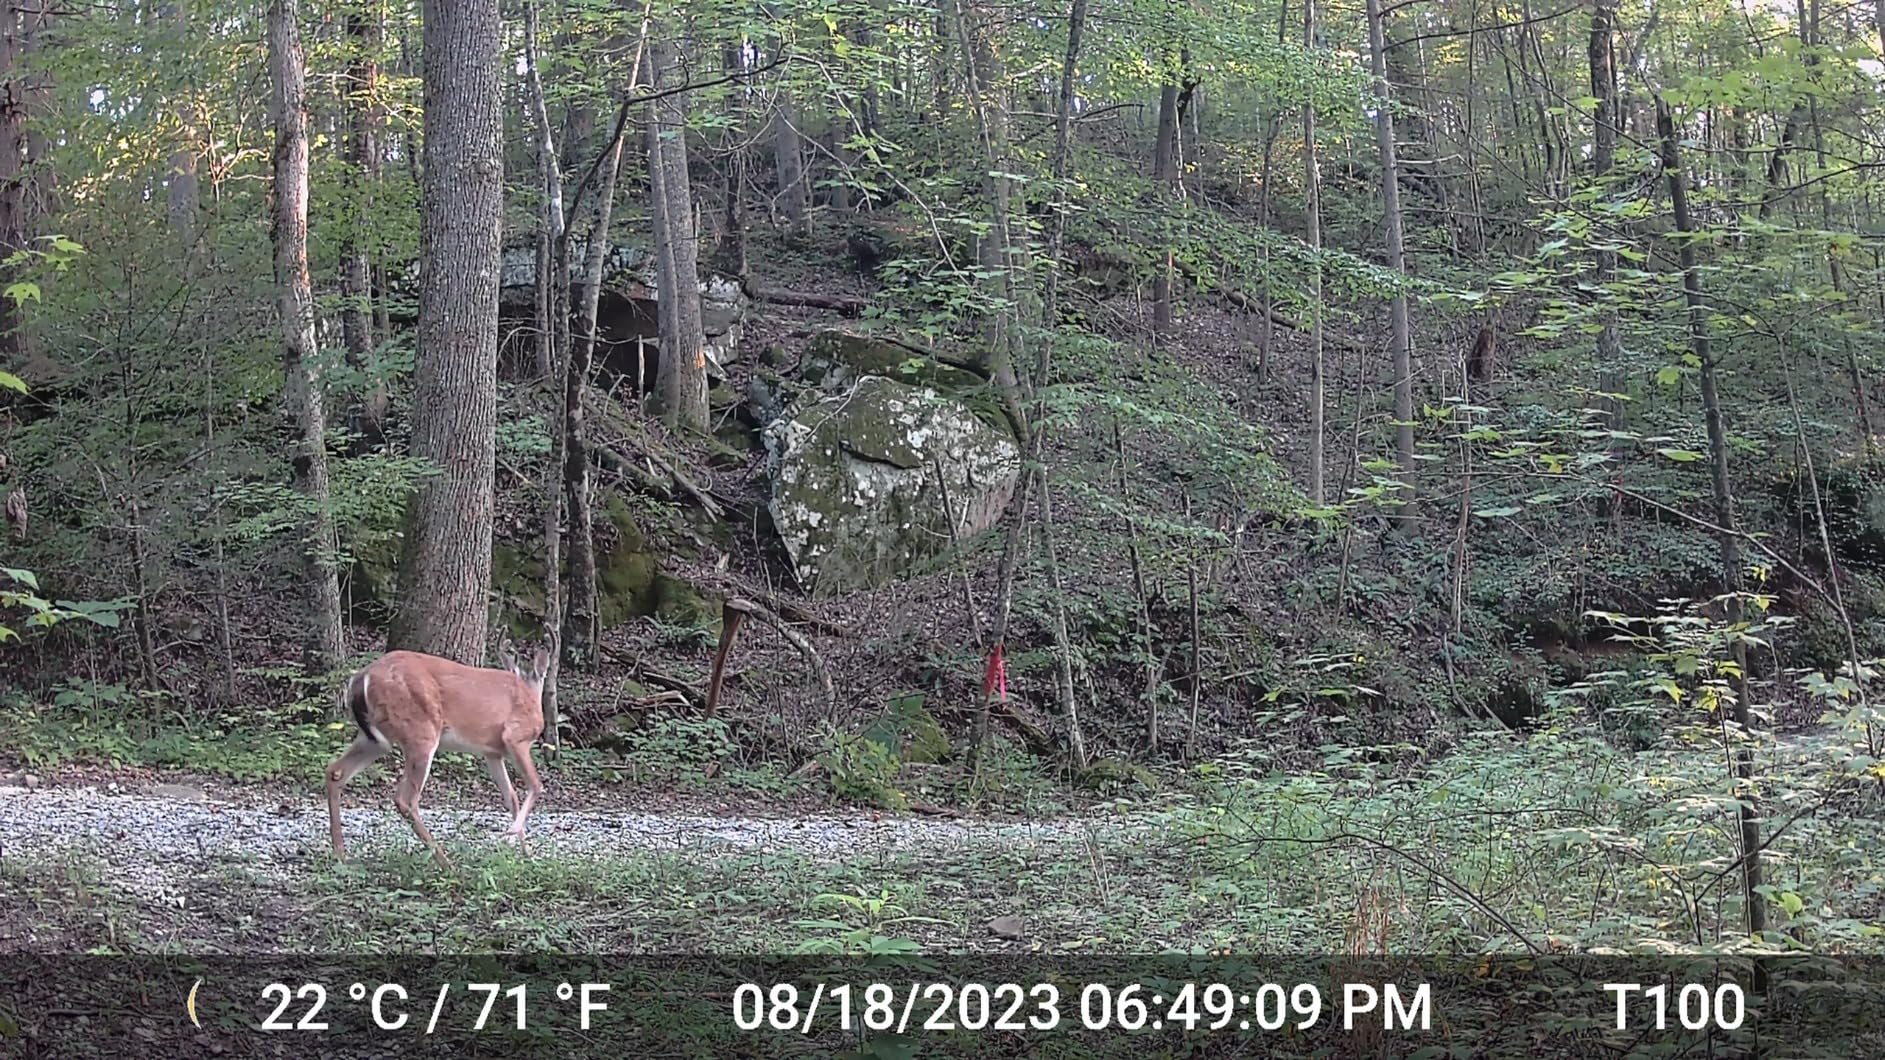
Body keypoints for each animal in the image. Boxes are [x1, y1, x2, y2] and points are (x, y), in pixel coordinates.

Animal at [325, 643, 553, 868]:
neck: (531, 695)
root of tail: (363, 676)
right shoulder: (515, 737)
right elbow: (536, 784)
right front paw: (515, 838)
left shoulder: (491, 753)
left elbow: (510, 796)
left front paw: (525, 854)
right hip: (421, 731)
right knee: (405, 800)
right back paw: (447, 864)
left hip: (373, 738)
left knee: (335, 771)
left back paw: (340, 855)